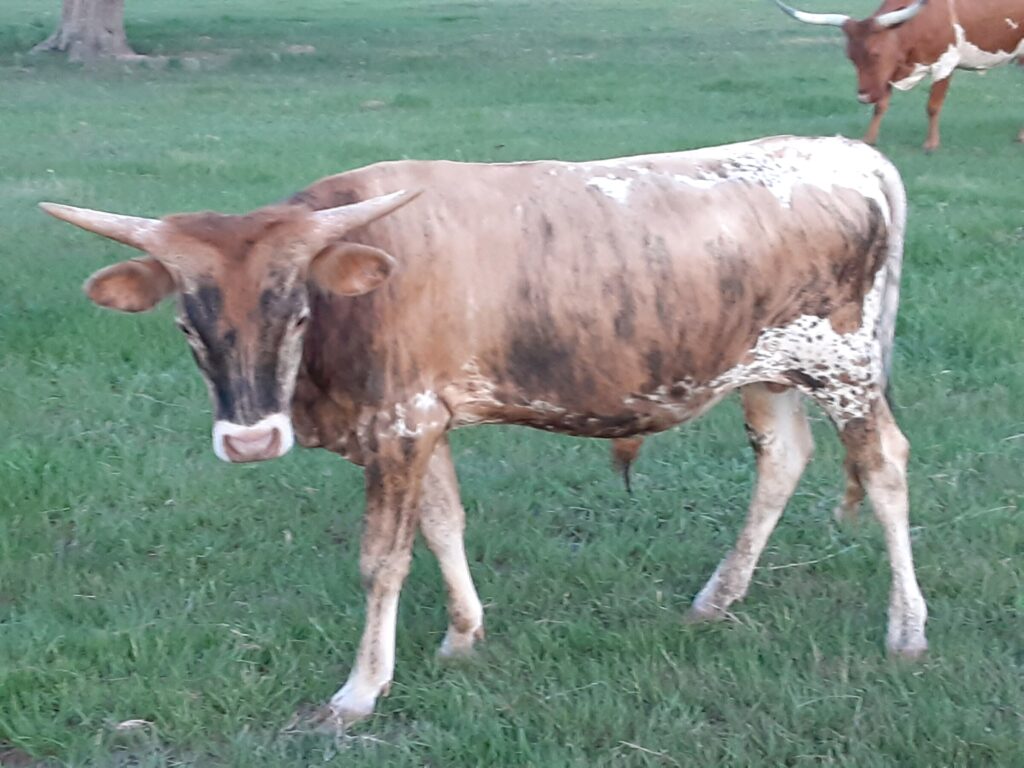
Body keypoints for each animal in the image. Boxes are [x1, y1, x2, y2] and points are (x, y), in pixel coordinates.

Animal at [40, 135, 928, 727]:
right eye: (187, 326)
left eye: (296, 310)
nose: (250, 441)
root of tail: (843, 149)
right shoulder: (424, 421)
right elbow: (443, 524)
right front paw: (463, 635)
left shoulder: (399, 428)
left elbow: (383, 561)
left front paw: (359, 691)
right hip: (766, 371)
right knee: (782, 461)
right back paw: (717, 597)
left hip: (845, 367)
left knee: (886, 470)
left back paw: (907, 629)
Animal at [772, 0, 1024, 151]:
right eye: (850, 56)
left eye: (875, 53)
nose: (863, 96)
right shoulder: (888, 73)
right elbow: (881, 106)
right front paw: (869, 139)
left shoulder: (945, 64)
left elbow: (933, 106)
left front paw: (931, 144)